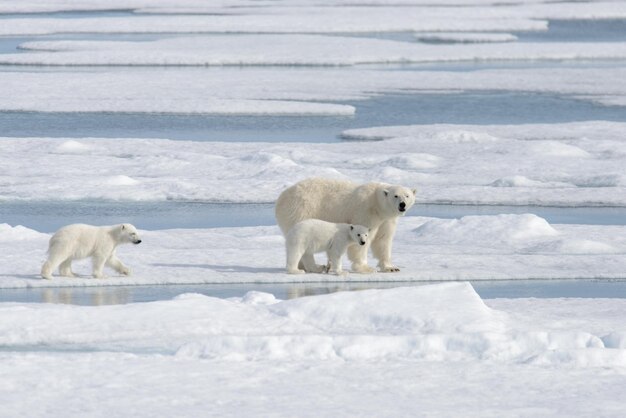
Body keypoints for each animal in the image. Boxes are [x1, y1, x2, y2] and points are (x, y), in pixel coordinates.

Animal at [274, 177, 414, 272]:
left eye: (407, 195)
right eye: (396, 196)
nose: (402, 204)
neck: (377, 205)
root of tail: (281, 198)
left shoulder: (386, 220)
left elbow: (383, 240)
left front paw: (390, 267)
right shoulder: (365, 212)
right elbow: (360, 240)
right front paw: (364, 268)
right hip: (302, 209)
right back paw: (316, 266)